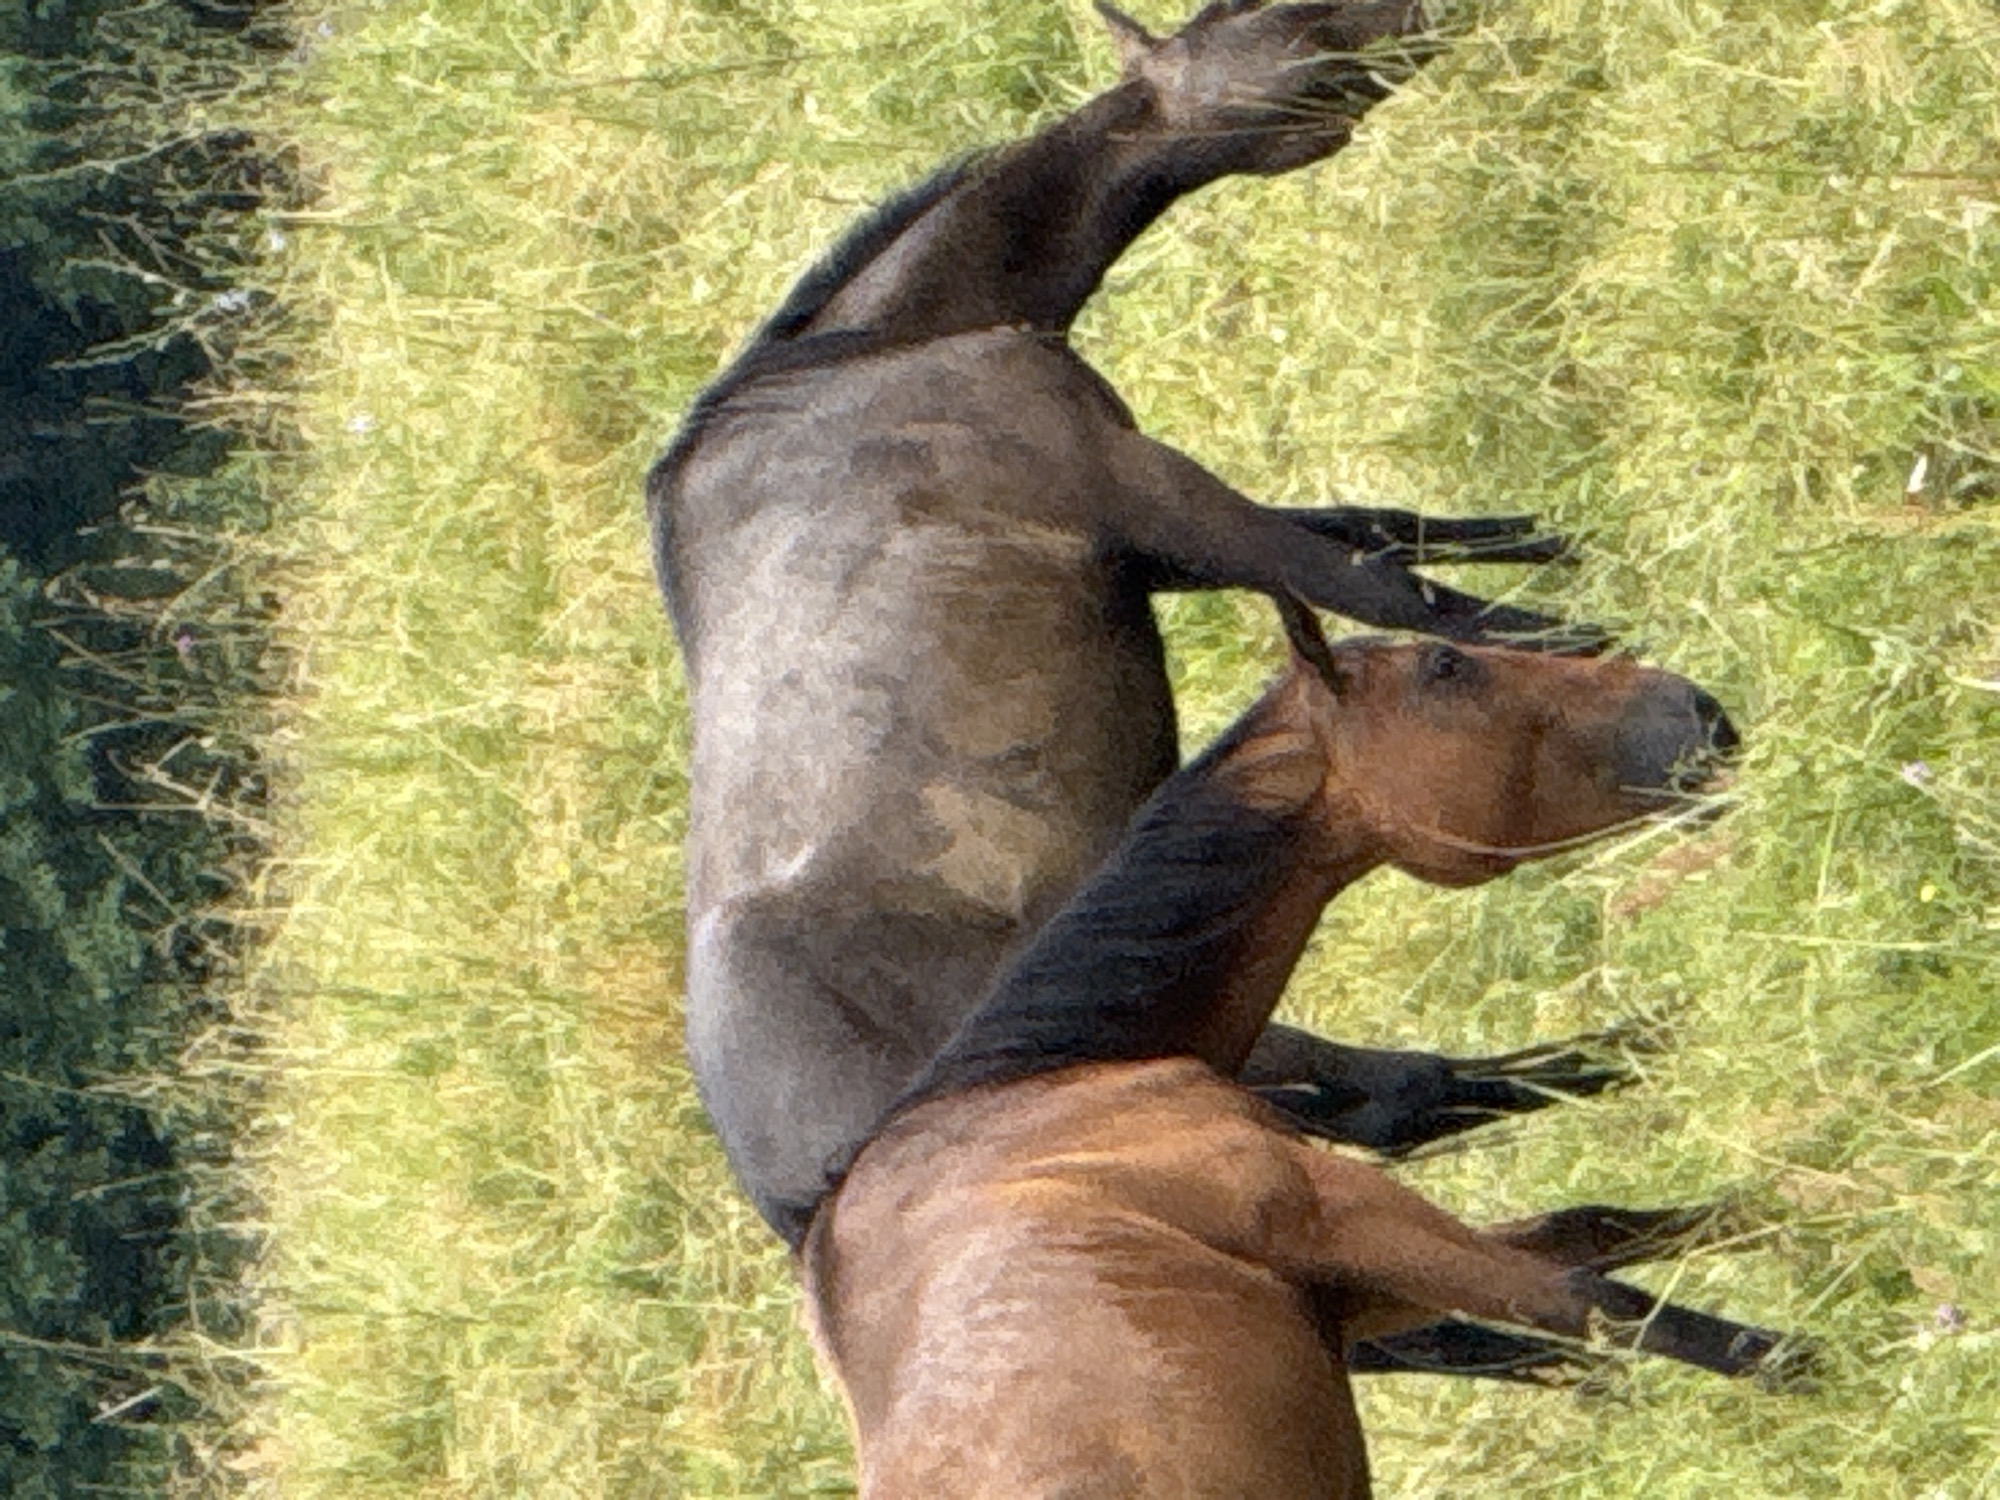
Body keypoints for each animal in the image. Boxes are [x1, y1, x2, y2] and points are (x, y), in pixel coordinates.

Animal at [650, 0, 1632, 1257]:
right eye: (1269, 22)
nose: (1427, 13)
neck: (886, 347)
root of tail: (799, 1191)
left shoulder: (1156, 546)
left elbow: (1377, 526)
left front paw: (1557, 546)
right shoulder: (1144, 490)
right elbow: (1372, 583)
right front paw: (1580, 641)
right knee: (1403, 1095)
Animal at [803, 604, 1788, 1498]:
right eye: (1446, 666)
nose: (1696, 709)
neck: (1048, 1094)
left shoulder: (1364, 1287)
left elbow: (1597, 1228)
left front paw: (1794, 1205)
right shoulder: (1338, 1208)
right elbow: (1600, 1298)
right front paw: (1815, 1359)